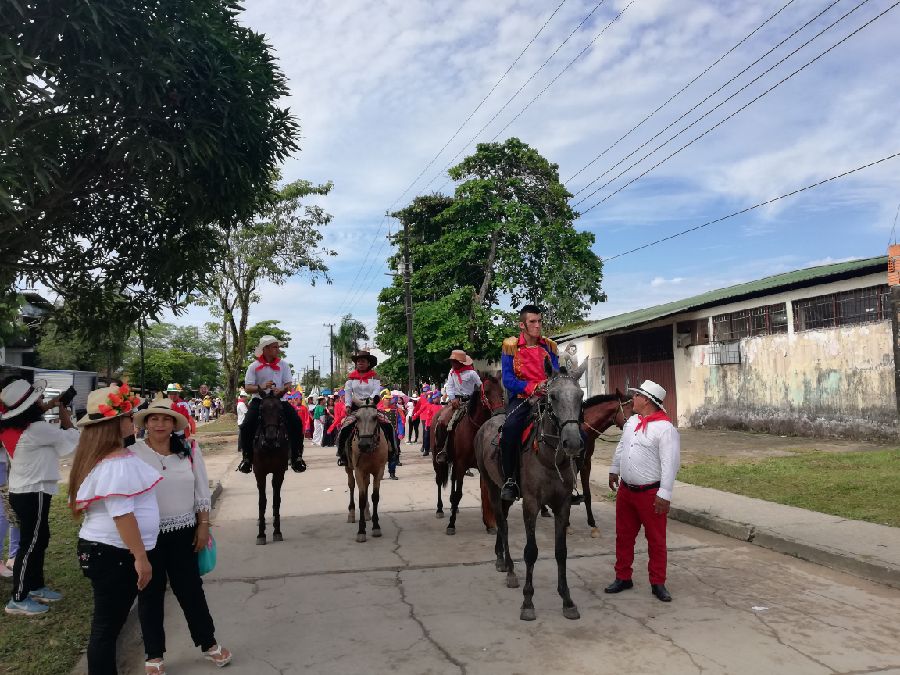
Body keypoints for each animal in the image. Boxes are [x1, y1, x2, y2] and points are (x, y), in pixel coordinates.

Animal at [342, 402, 388, 544]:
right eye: (357, 418)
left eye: (375, 417)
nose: (364, 445)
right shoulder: (359, 471)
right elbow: (361, 499)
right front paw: (361, 531)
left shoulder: (379, 471)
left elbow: (375, 497)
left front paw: (376, 526)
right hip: (349, 468)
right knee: (351, 486)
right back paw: (351, 514)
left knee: (366, 485)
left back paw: (367, 513)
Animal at [430, 372, 502, 536]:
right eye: (487, 392)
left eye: (502, 391)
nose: (499, 413)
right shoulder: (462, 464)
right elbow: (459, 494)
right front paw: (451, 524)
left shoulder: (479, 467)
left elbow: (485, 494)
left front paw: (490, 524)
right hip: (437, 461)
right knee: (439, 481)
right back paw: (440, 509)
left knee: (452, 482)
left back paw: (453, 507)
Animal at [474, 360, 588, 624]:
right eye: (553, 396)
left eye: (580, 396)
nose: (573, 443)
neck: (548, 457)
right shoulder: (531, 504)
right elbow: (531, 551)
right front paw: (528, 602)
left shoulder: (562, 505)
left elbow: (561, 552)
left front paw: (567, 600)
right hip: (492, 486)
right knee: (502, 523)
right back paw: (510, 570)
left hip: (504, 493)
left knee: (504, 519)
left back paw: (501, 559)